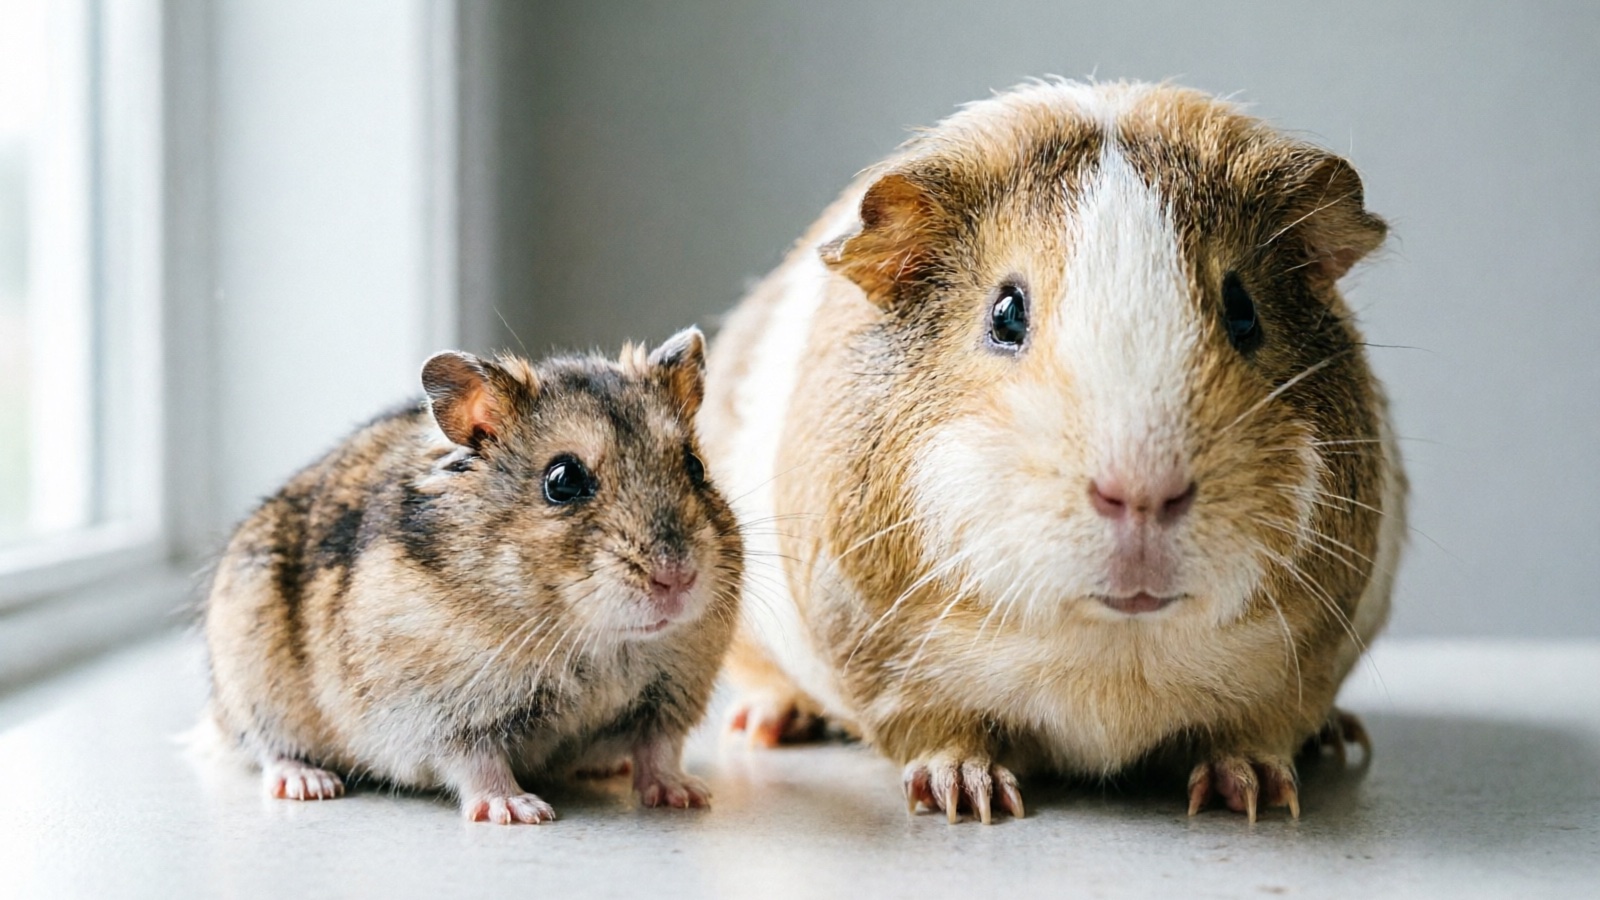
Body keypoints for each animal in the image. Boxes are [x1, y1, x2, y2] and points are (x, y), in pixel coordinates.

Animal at [202, 328, 742, 823]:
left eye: (695, 466)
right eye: (563, 480)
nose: (677, 580)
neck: (601, 642)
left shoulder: (673, 694)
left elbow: (660, 749)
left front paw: (688, 797)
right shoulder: (442, 713)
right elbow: (478, 763)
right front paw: (520, 811)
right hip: (251, 675)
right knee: (266, 746)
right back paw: (309, 783)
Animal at [701, 81, 1405, 823]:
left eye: (1244, 312)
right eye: (1006, 313)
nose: (1142, 492)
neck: (1117, 665)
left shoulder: (1305, 659)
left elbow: (1260, 728)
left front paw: (1255, 793)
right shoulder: (885, 662)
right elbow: (936, 730)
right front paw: (968, 796)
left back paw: (1336, 738)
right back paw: (764, 725)